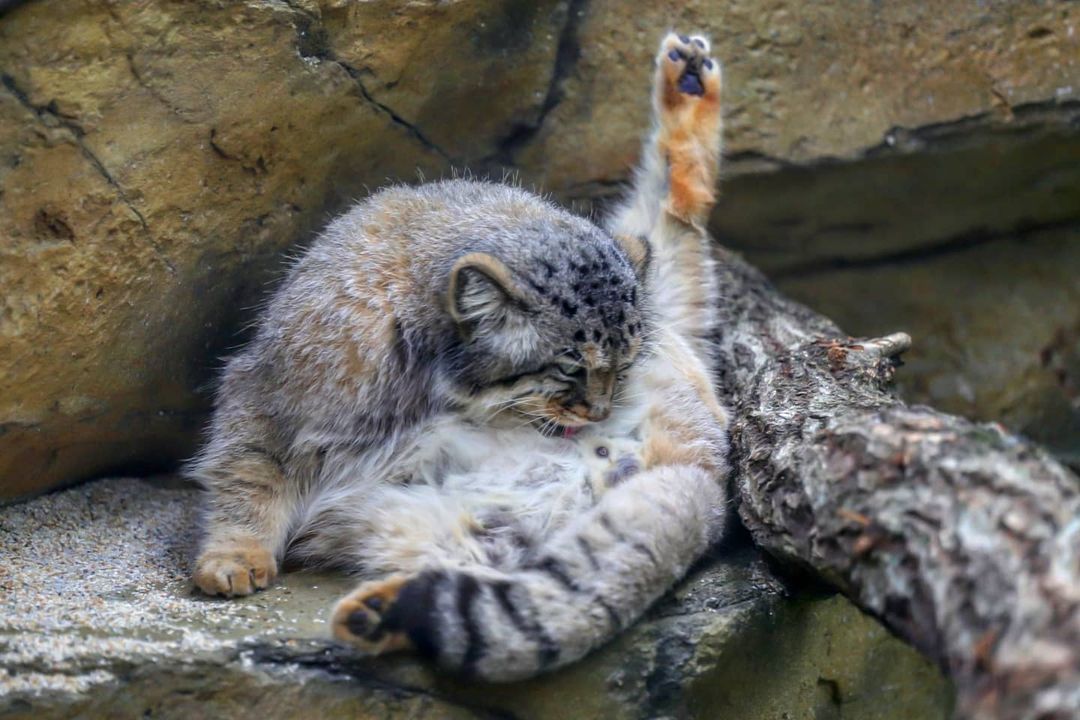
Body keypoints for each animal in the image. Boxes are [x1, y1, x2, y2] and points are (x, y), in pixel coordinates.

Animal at [190, 29, 730, 682]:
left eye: (622, 367)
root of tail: (708, 476)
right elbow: (248, 474)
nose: (599, 412)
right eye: (571, 368)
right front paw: (234, 554)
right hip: (450, 528)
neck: (427, 382)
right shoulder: (273, 394)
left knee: (679, 218)